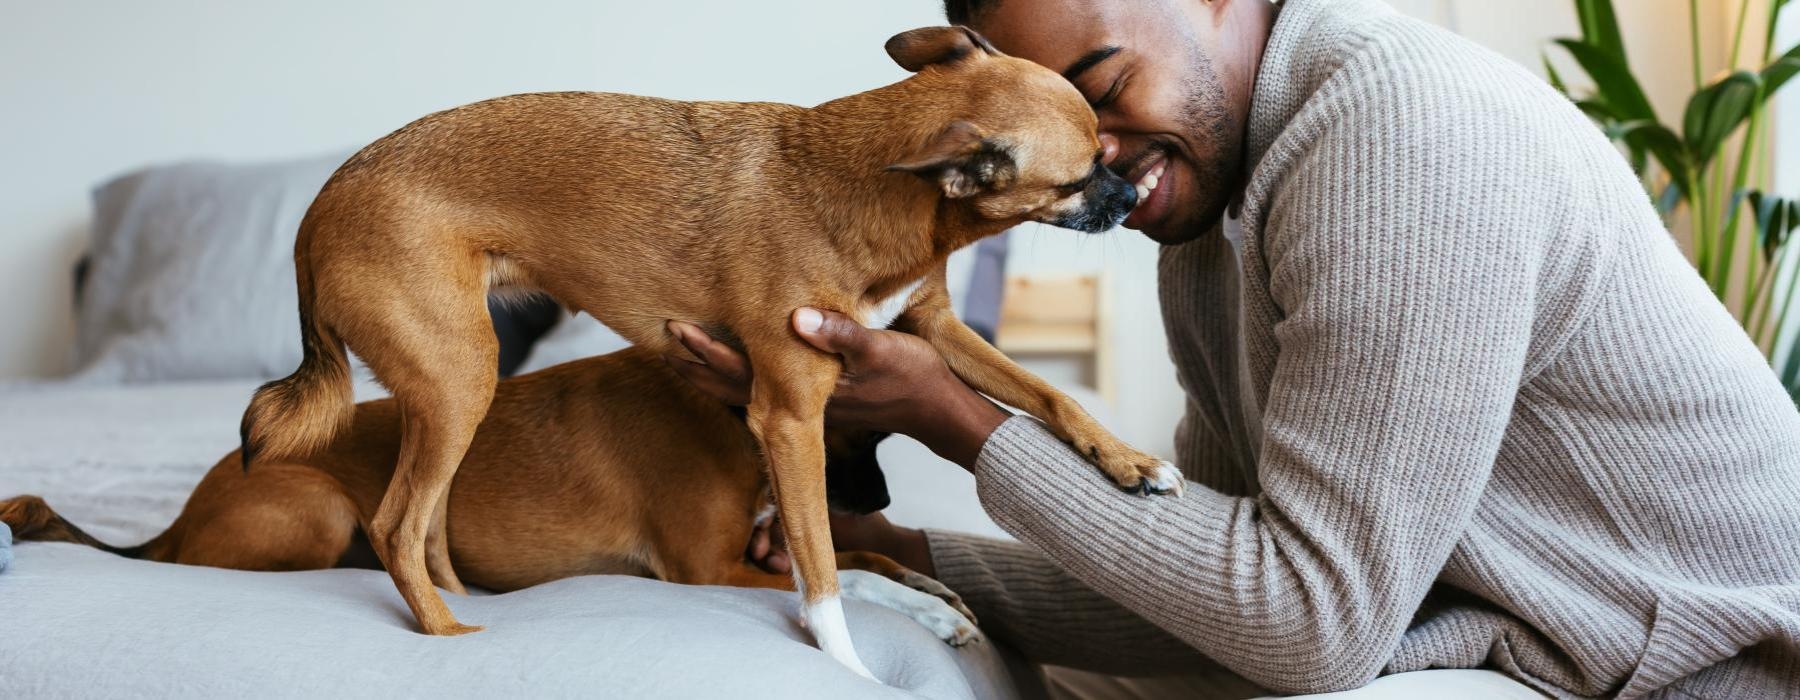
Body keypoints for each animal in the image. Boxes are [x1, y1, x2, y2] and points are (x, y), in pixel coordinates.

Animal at [3, 345, 986, 647]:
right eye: (855, 428)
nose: (879, 494)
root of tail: (169, 531)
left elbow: (860, 556)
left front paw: (933, 586)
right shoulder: (707, 569)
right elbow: (850, 575)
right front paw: (929, 607)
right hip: (319, 508)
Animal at [232, 24, 1180, 673]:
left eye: (1107, 148)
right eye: (1080, 177)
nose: (1134, 194)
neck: (876, 181)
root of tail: (320, 205)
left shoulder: (936, 331)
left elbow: (1049, 396)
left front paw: (1129, 463)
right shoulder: (791, 418)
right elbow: (823, 573)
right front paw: (847, 667)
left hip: (454, 395)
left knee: (426, 525)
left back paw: (454, 601)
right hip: (461, 378)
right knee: (397, 525)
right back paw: (445, 633)